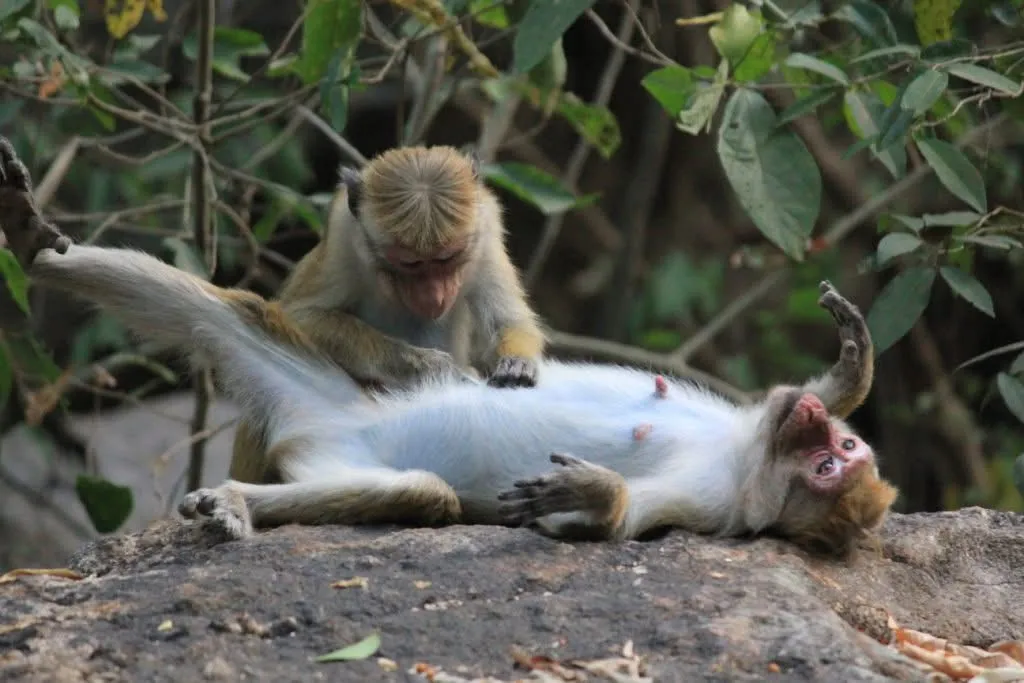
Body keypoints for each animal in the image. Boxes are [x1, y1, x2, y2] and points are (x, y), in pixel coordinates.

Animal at [230, 145, 547, 484]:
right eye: (410, 264)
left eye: (448, 258)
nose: (434, 295)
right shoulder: (343, 234)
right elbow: (300, 316)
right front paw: (427, 366)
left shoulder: (486, 228)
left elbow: (508, 318)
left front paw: (517, 363)